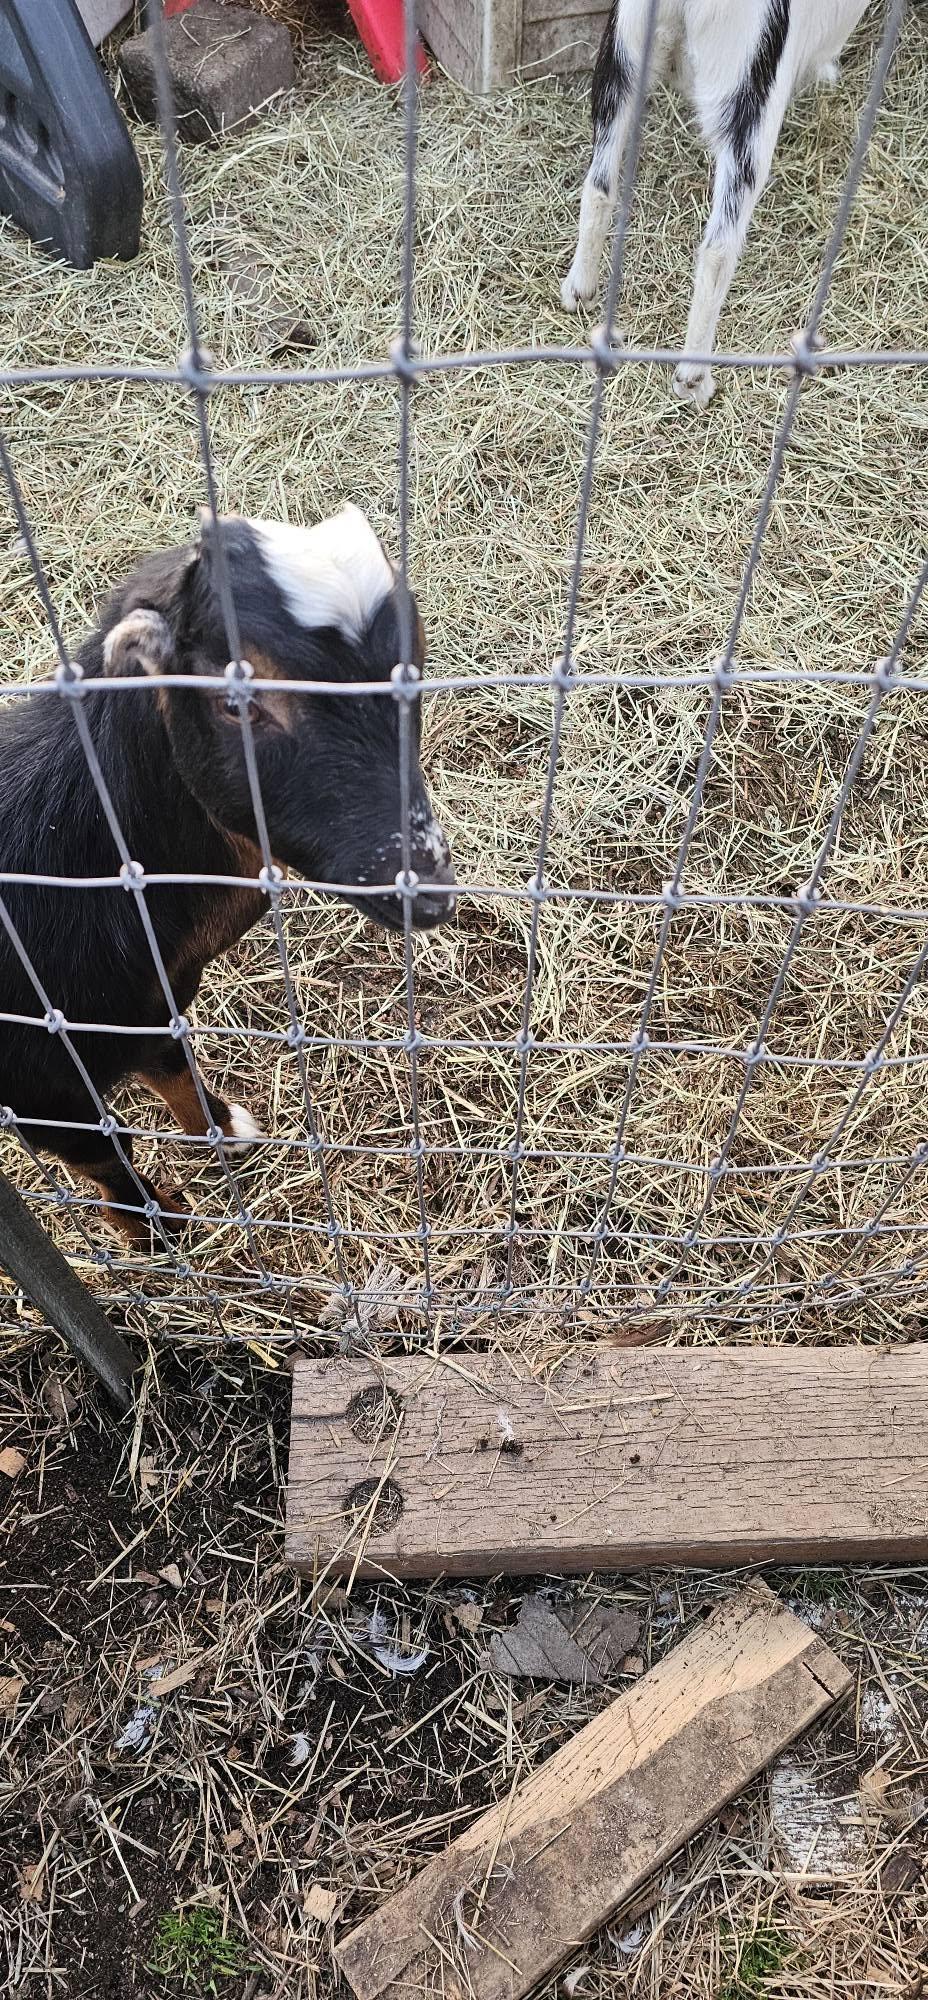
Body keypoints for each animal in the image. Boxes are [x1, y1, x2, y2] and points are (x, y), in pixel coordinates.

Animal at [0, 505, 455, 1243]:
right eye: (238, 703)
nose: (428, 889)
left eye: (414, 664)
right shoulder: (38, 1085)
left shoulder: (152, 1009)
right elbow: (103, 1151)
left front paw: (221, 1129)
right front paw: (152, 1227)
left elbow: (171, 1062)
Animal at [562, 0, 872, 408]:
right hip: (750, 118)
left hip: (620, 61)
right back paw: (694, 380)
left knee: (598, 185)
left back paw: (579, 291)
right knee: (718, 249)